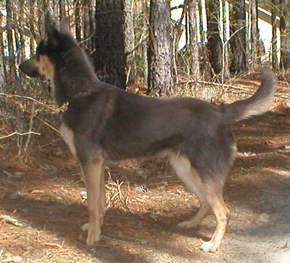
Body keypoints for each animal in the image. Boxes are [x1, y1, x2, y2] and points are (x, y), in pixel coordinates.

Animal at [19, 12, 278, 254]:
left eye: (37, 52)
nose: (19, 66)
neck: (81, 93)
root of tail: (220, 111)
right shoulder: (98, 166)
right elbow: (99, 202)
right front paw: (95, 227)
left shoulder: (89, 162)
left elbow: (92, 204)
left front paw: (93, 237)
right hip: (186, 171)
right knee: (206, 204)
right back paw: (191, 224)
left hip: (203, 173)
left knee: (223, 212)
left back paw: (213, 245)